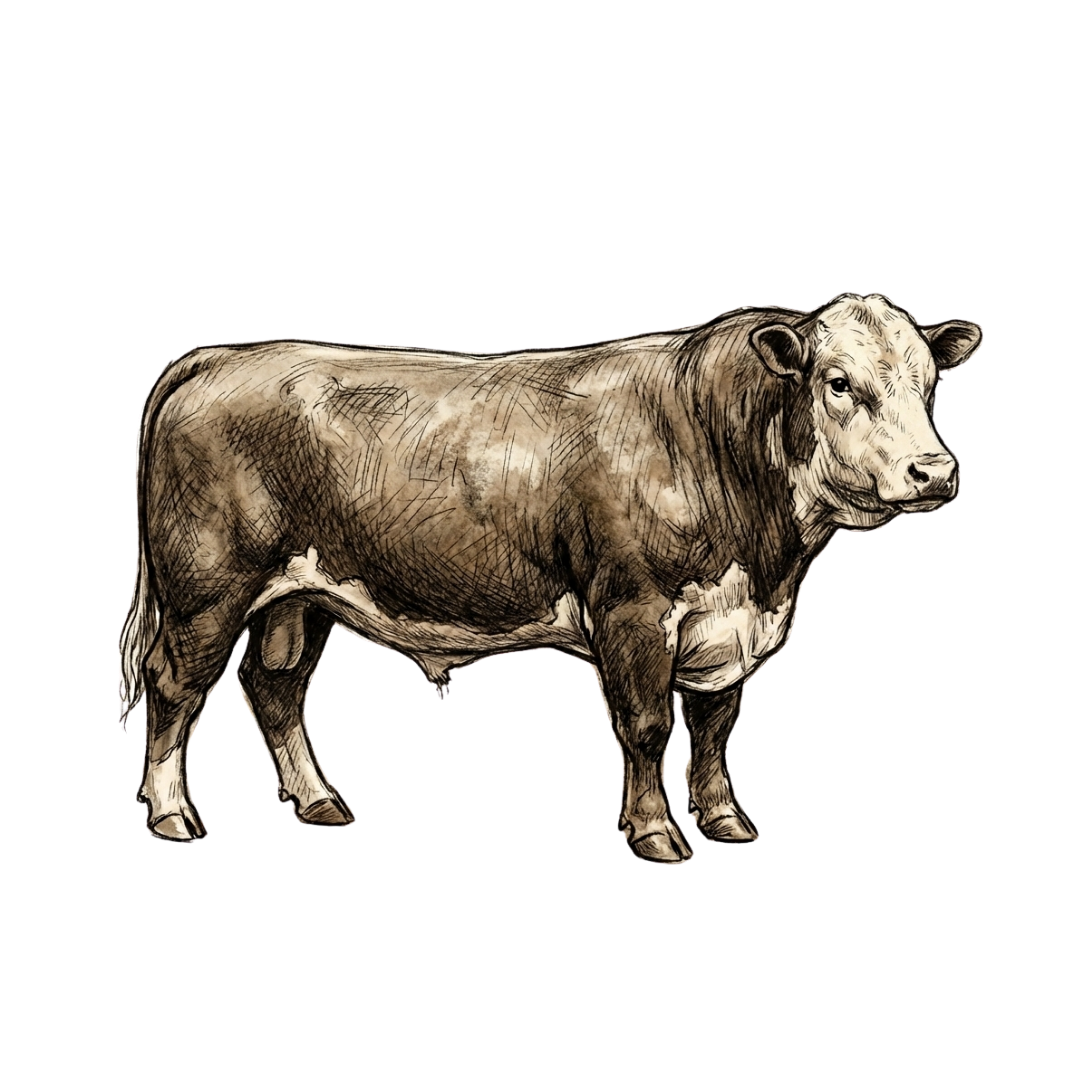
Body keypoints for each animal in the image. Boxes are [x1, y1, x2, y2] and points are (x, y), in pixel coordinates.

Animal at [117, 293, 982, 862]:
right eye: (838, 381)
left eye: (928, 384)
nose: (934, 471)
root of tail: (224, 356)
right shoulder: (633, 611)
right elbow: (647, 726)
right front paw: (657, 835)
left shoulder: (728, 626)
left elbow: (713, 730)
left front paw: (726, 822)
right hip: (207, 588)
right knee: (175, 685)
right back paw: (171, 816)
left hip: (297, 598)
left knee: (275, 688)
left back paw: (321, 802)